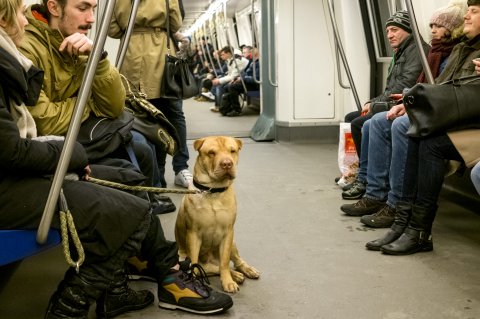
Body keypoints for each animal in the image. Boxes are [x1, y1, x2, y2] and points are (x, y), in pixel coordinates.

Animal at [175, 136, 260, 294]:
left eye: (232, 151)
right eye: (211, 153)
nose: (227, 163)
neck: (213, 191)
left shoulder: (228, 233)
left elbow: (225, 262)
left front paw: (228, 282)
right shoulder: (193, 234)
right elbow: (194, 263)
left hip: (232, 244)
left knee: (232, 262)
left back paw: (246, 270)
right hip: (185, 257)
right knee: (213, 268)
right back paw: (236, 275)